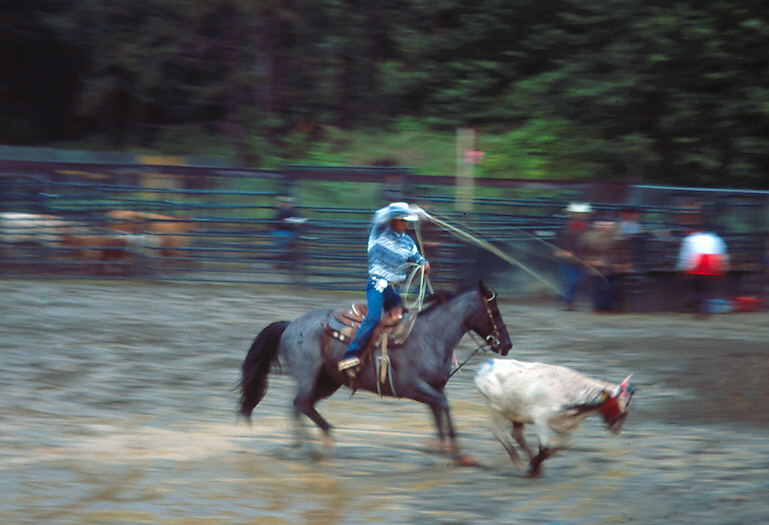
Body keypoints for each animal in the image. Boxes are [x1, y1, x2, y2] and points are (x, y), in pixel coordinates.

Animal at [238, 282, 516, 462]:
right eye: (495, 311)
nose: (507, 344)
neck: (431, 337)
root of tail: (289, 325)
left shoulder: (435, 388)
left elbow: (440, 412)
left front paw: (447, 450)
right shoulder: (412, 387)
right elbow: (444, 406)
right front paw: (452, 449)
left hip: (327, 381)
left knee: (304, 406)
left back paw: (318, 440)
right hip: (308, 375)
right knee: (299, 405)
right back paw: (310, 446)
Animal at [474, 358, 636, 476]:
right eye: (617, 404)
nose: (617, 429)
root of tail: (485, 366)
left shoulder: (562, 425)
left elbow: (564, 445)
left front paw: (535, 464)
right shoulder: (540, 420)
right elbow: (545, 447)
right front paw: (533, 469)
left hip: (516, 413)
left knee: (516, 434)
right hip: (495, 409)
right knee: (498, 431)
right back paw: (519, 462)